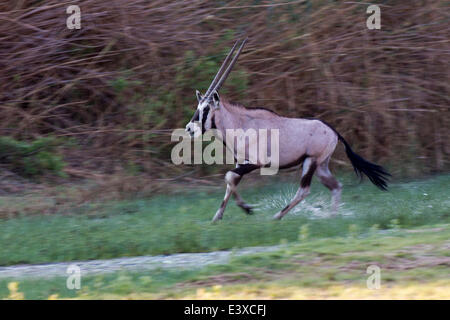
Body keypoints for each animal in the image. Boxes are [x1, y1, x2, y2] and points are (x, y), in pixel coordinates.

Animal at [185, 38, 388, 222]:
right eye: (198, 106)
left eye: (206, 109)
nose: (189, 128)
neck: (240, 123)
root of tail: (334, 132)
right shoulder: (240, 163)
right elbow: (231, 181)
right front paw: (218, 217)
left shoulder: (256, 162)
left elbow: (228, 177)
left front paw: (247, 208)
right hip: (321, 166)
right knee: (336, 186)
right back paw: (332, 218)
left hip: (310, 162)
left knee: (304, 190)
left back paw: (277, 216)